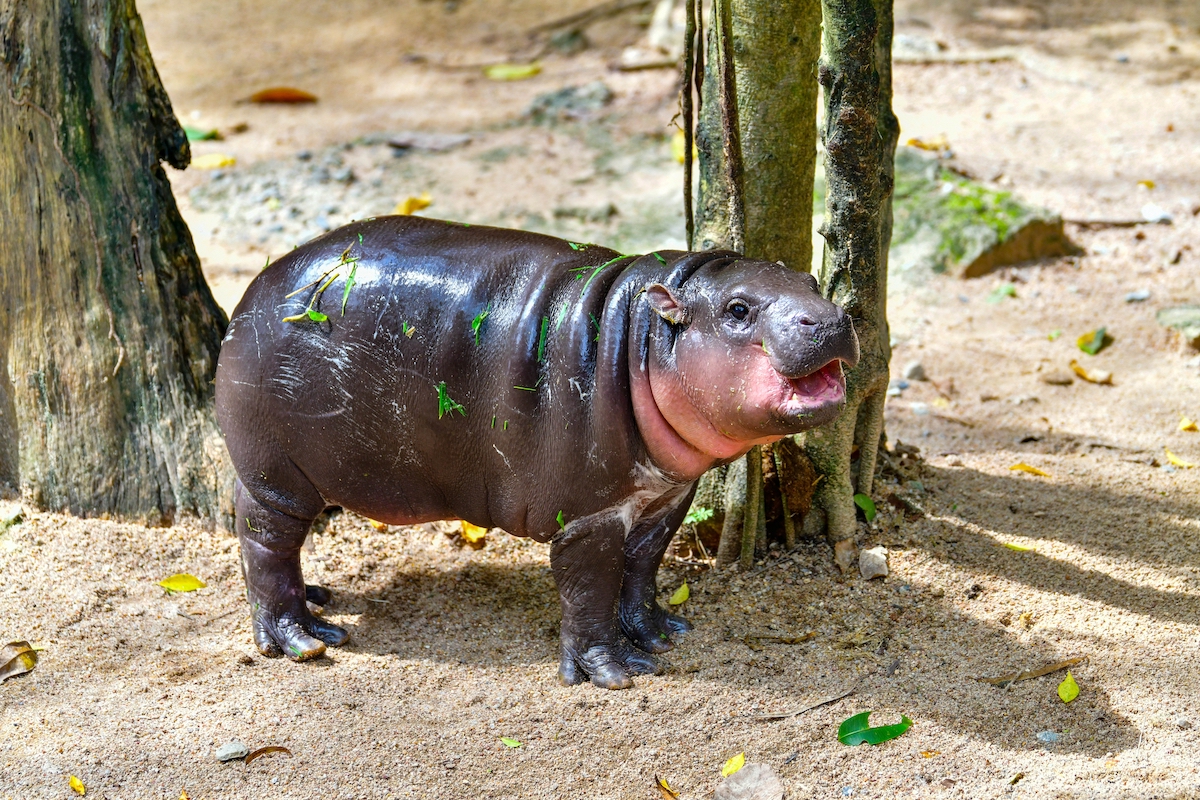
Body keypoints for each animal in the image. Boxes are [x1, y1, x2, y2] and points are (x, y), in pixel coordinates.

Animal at [214, 215, 858, 689]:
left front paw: (659, 634)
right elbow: (589, 589)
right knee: (265, 542)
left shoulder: (666, 498)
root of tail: (253, 289)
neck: (643, 336)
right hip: (278, 474)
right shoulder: (589, 516)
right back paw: (305, 639)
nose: (833, 318)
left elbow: (642, 569)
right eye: (738, 309)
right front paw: (614, 674)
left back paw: (319, 600)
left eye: (812, 281)